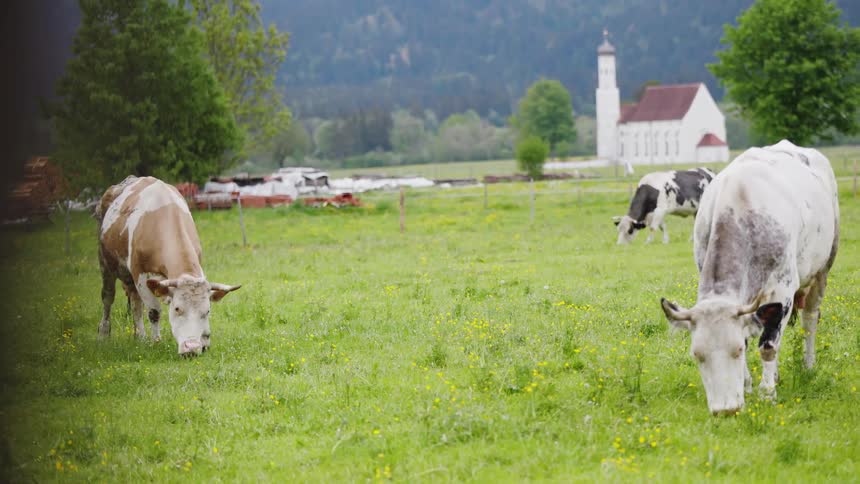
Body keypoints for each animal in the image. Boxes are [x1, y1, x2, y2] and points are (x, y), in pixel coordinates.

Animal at [95, 176, 241, 355]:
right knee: (108, 297)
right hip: (105, 263)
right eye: (177, 308)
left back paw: (139, 336)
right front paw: (156, 342)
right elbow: (154, 312)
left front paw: (204, 341)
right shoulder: (141, 275)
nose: (191, 347)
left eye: (207, 311)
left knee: (135, 302)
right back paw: (104, 333)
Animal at [660, 140, 839, 415]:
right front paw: (748, 387)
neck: (739, 209)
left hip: (822, 270)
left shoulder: (782, 291)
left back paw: (808, 366)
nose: (726, 410)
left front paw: (767, 393)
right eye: (697, 355)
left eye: (737, 351)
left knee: (810, 319)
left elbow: (768, 346)